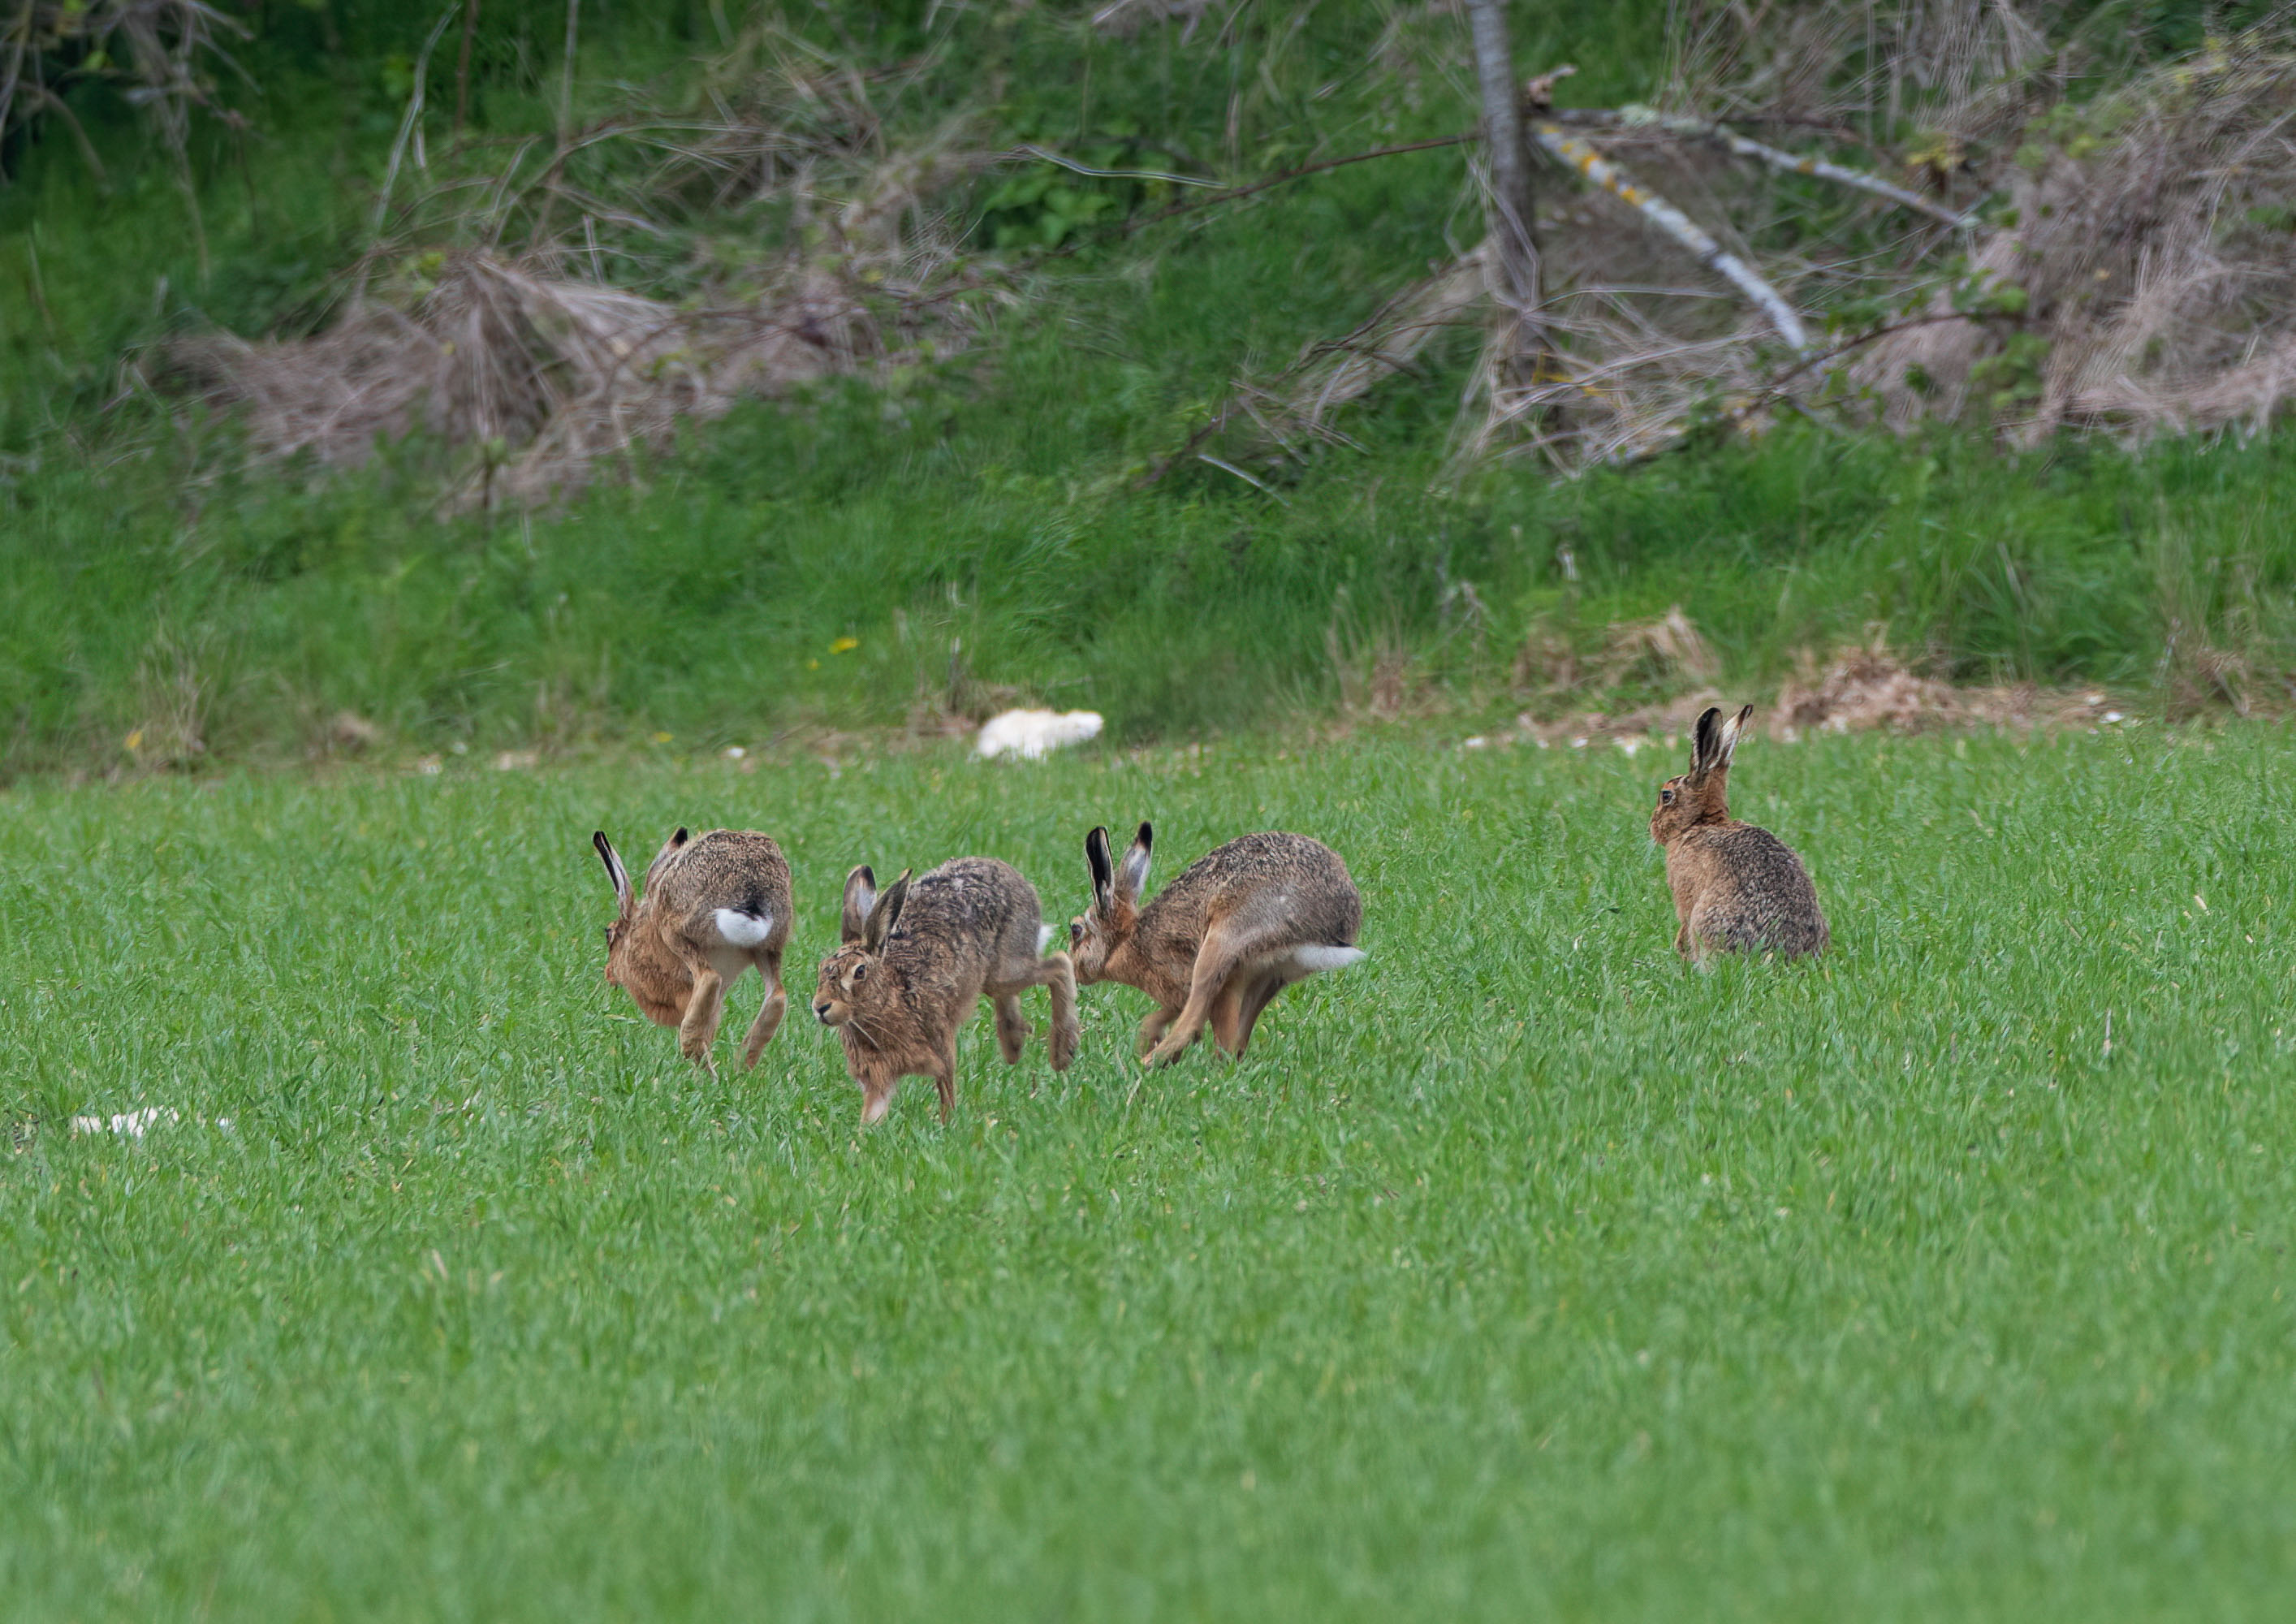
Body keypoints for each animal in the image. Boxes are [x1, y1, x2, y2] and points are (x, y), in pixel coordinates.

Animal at [593, 826, 794, 1067]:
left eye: (608, 934)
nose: (608, 973)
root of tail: (753, 892)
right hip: (768, 948)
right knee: (776, 998)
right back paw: (740, 1070)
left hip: (677, 931)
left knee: (709, 978)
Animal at [812, 857, 1080, 1126]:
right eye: (821, 968)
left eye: (859, 972)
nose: (820, 1007)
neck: (886, 1001)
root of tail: (1004, 869)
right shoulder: (878, 1078)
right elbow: (873, 1111)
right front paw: (863, 1133)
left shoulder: (941, 1050)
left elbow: (946, 1091)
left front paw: (948, 1125)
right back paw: (1014, 1044)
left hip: (1006, 969)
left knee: (1060, 964)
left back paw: (1062, 1053)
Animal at [1068, 824, 1364, 1068]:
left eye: (1075, 930)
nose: (1074, 970)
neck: (1125, 942)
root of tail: (1329, 925)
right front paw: (1147, 1037)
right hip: (1269, 975)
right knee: (1237, 1039)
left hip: (1222, 943)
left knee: (1198, 1025)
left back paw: (1145, 1065)